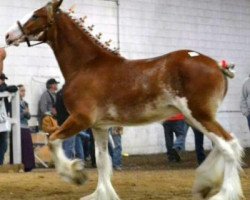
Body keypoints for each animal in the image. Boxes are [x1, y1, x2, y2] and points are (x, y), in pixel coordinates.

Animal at [4, 0, 245, 199]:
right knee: (224, 145)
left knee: (228, 145)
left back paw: (224, 193)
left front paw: (76, 175)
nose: (7, 35)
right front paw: (102, 194)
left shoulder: (80, 119)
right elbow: (102, 161)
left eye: (36, 15)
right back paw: (206, 183)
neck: (87, 66)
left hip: (199, 115)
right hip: (195, 117)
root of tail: (217, 65)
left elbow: (52, 139)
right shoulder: (99, 126)